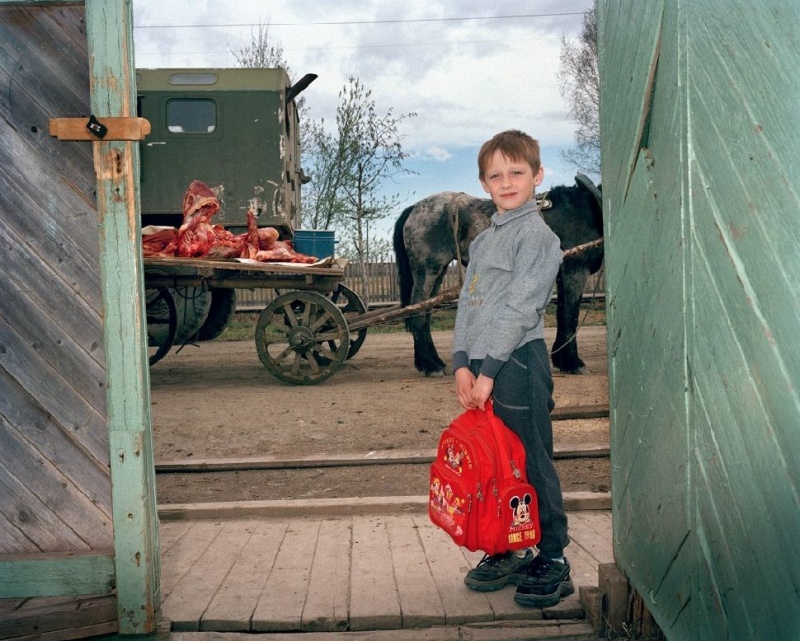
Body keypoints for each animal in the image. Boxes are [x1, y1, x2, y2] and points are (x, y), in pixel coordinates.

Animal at [390, 175, 604, 376]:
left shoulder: (562, 276)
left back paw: (433, 362)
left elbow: (563, 314)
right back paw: (430, 365)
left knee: (424, 313)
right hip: (427, 270)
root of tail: (415, 208)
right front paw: (573, 363)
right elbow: (570, 315)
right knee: (418, 314)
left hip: (438, 273)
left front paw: (562, 360)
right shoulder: (575, 271)